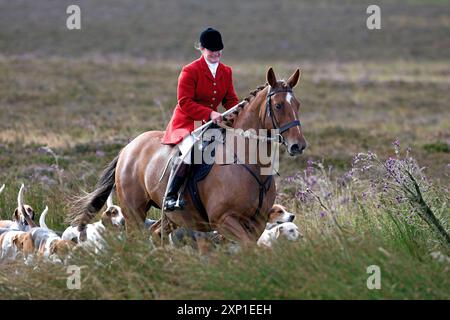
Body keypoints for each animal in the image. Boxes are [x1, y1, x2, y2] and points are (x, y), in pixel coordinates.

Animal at [69, 67, 310, 245]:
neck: (249, 163)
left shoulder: (257, 223)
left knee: (156, 233)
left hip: (172, 217)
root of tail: (128, 148)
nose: (298, 145)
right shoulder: (225, 220)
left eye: (298, 104)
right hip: (133, 212)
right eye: (278, 105)